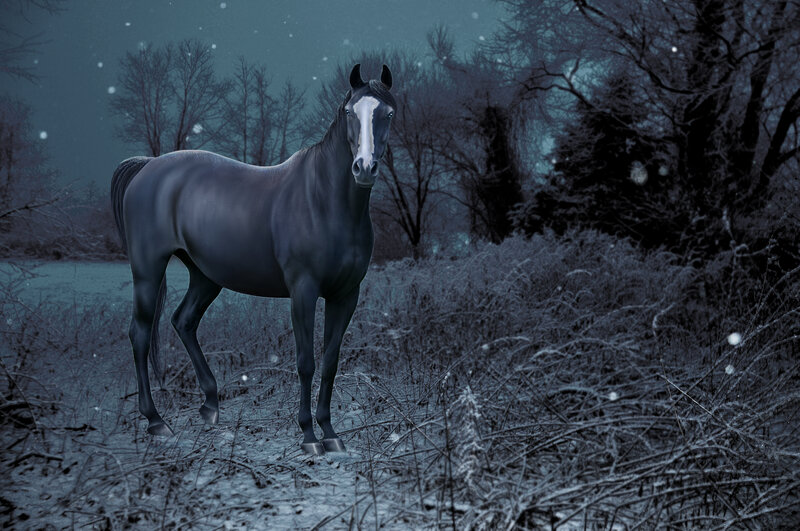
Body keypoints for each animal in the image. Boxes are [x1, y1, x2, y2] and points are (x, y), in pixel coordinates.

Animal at [110, 64, 396, 455]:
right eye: (350, 112)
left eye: (389, 114)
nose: (364, 168)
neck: (326, 202)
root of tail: (148, 166)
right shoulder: (303, 292)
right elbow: (306, 362)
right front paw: (309, 436)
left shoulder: (345, 296)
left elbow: (330, 362)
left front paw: (331, 433)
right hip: (148, 271)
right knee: (139, 333)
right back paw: (156, 421)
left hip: (205, 276)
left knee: (183, 321)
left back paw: (210, 406)